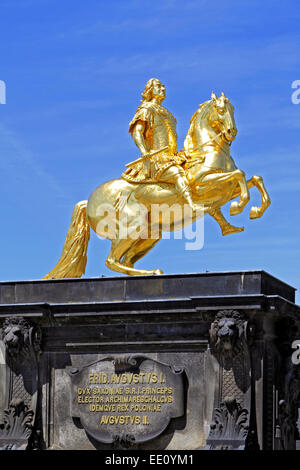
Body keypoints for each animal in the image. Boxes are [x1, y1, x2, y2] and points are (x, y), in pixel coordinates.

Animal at [43, 92, 270, 280]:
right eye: (221, 110)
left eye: (233, 109)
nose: (232, 131)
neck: (205, 152)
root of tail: (87, 201)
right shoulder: (204, 186)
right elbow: (240, 175)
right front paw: (239, 206)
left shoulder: (225, 191)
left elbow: (254, 178)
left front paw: (254, 211)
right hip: (131, 227)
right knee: (112, 260)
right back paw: (152, 272)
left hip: (149, 234)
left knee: (125, 261)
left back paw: (150, 272)